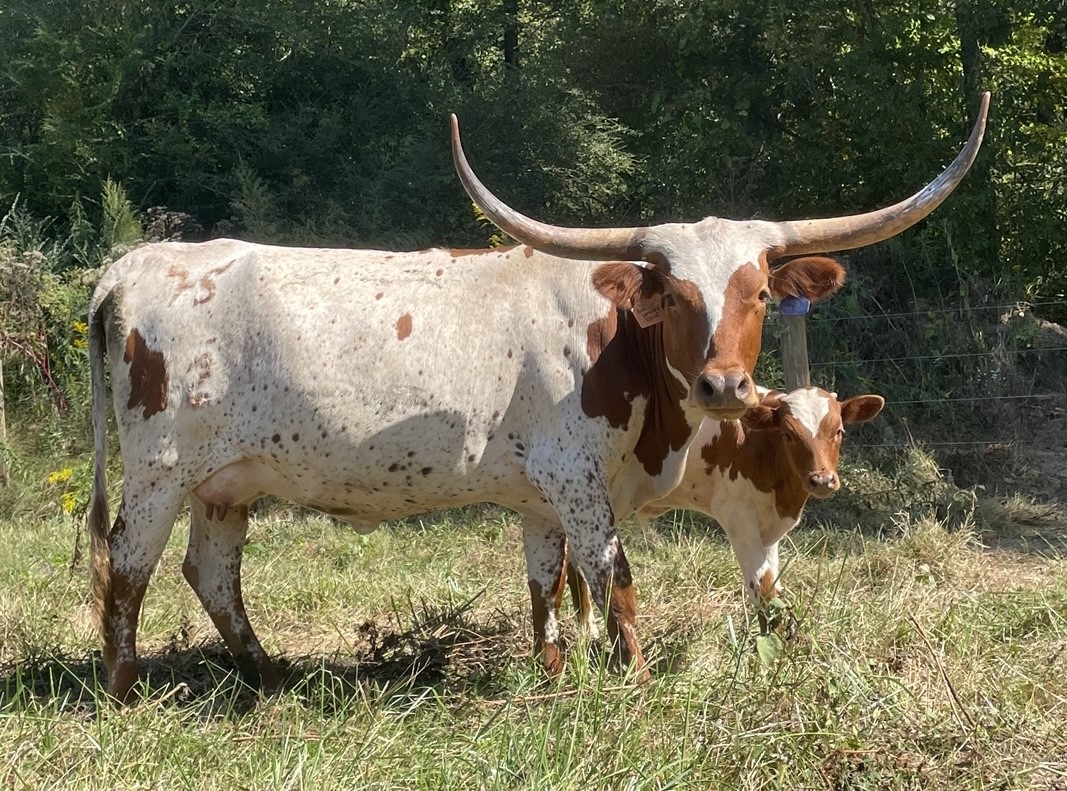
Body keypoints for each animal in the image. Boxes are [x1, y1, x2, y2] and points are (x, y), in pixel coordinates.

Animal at [562, 387, 885, 639]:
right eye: (789, 434)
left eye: (839, 431)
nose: (822, 480)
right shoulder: (738, 517)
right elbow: (762, 589)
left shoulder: (769, 529)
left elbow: (773, 588)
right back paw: (587, 631)